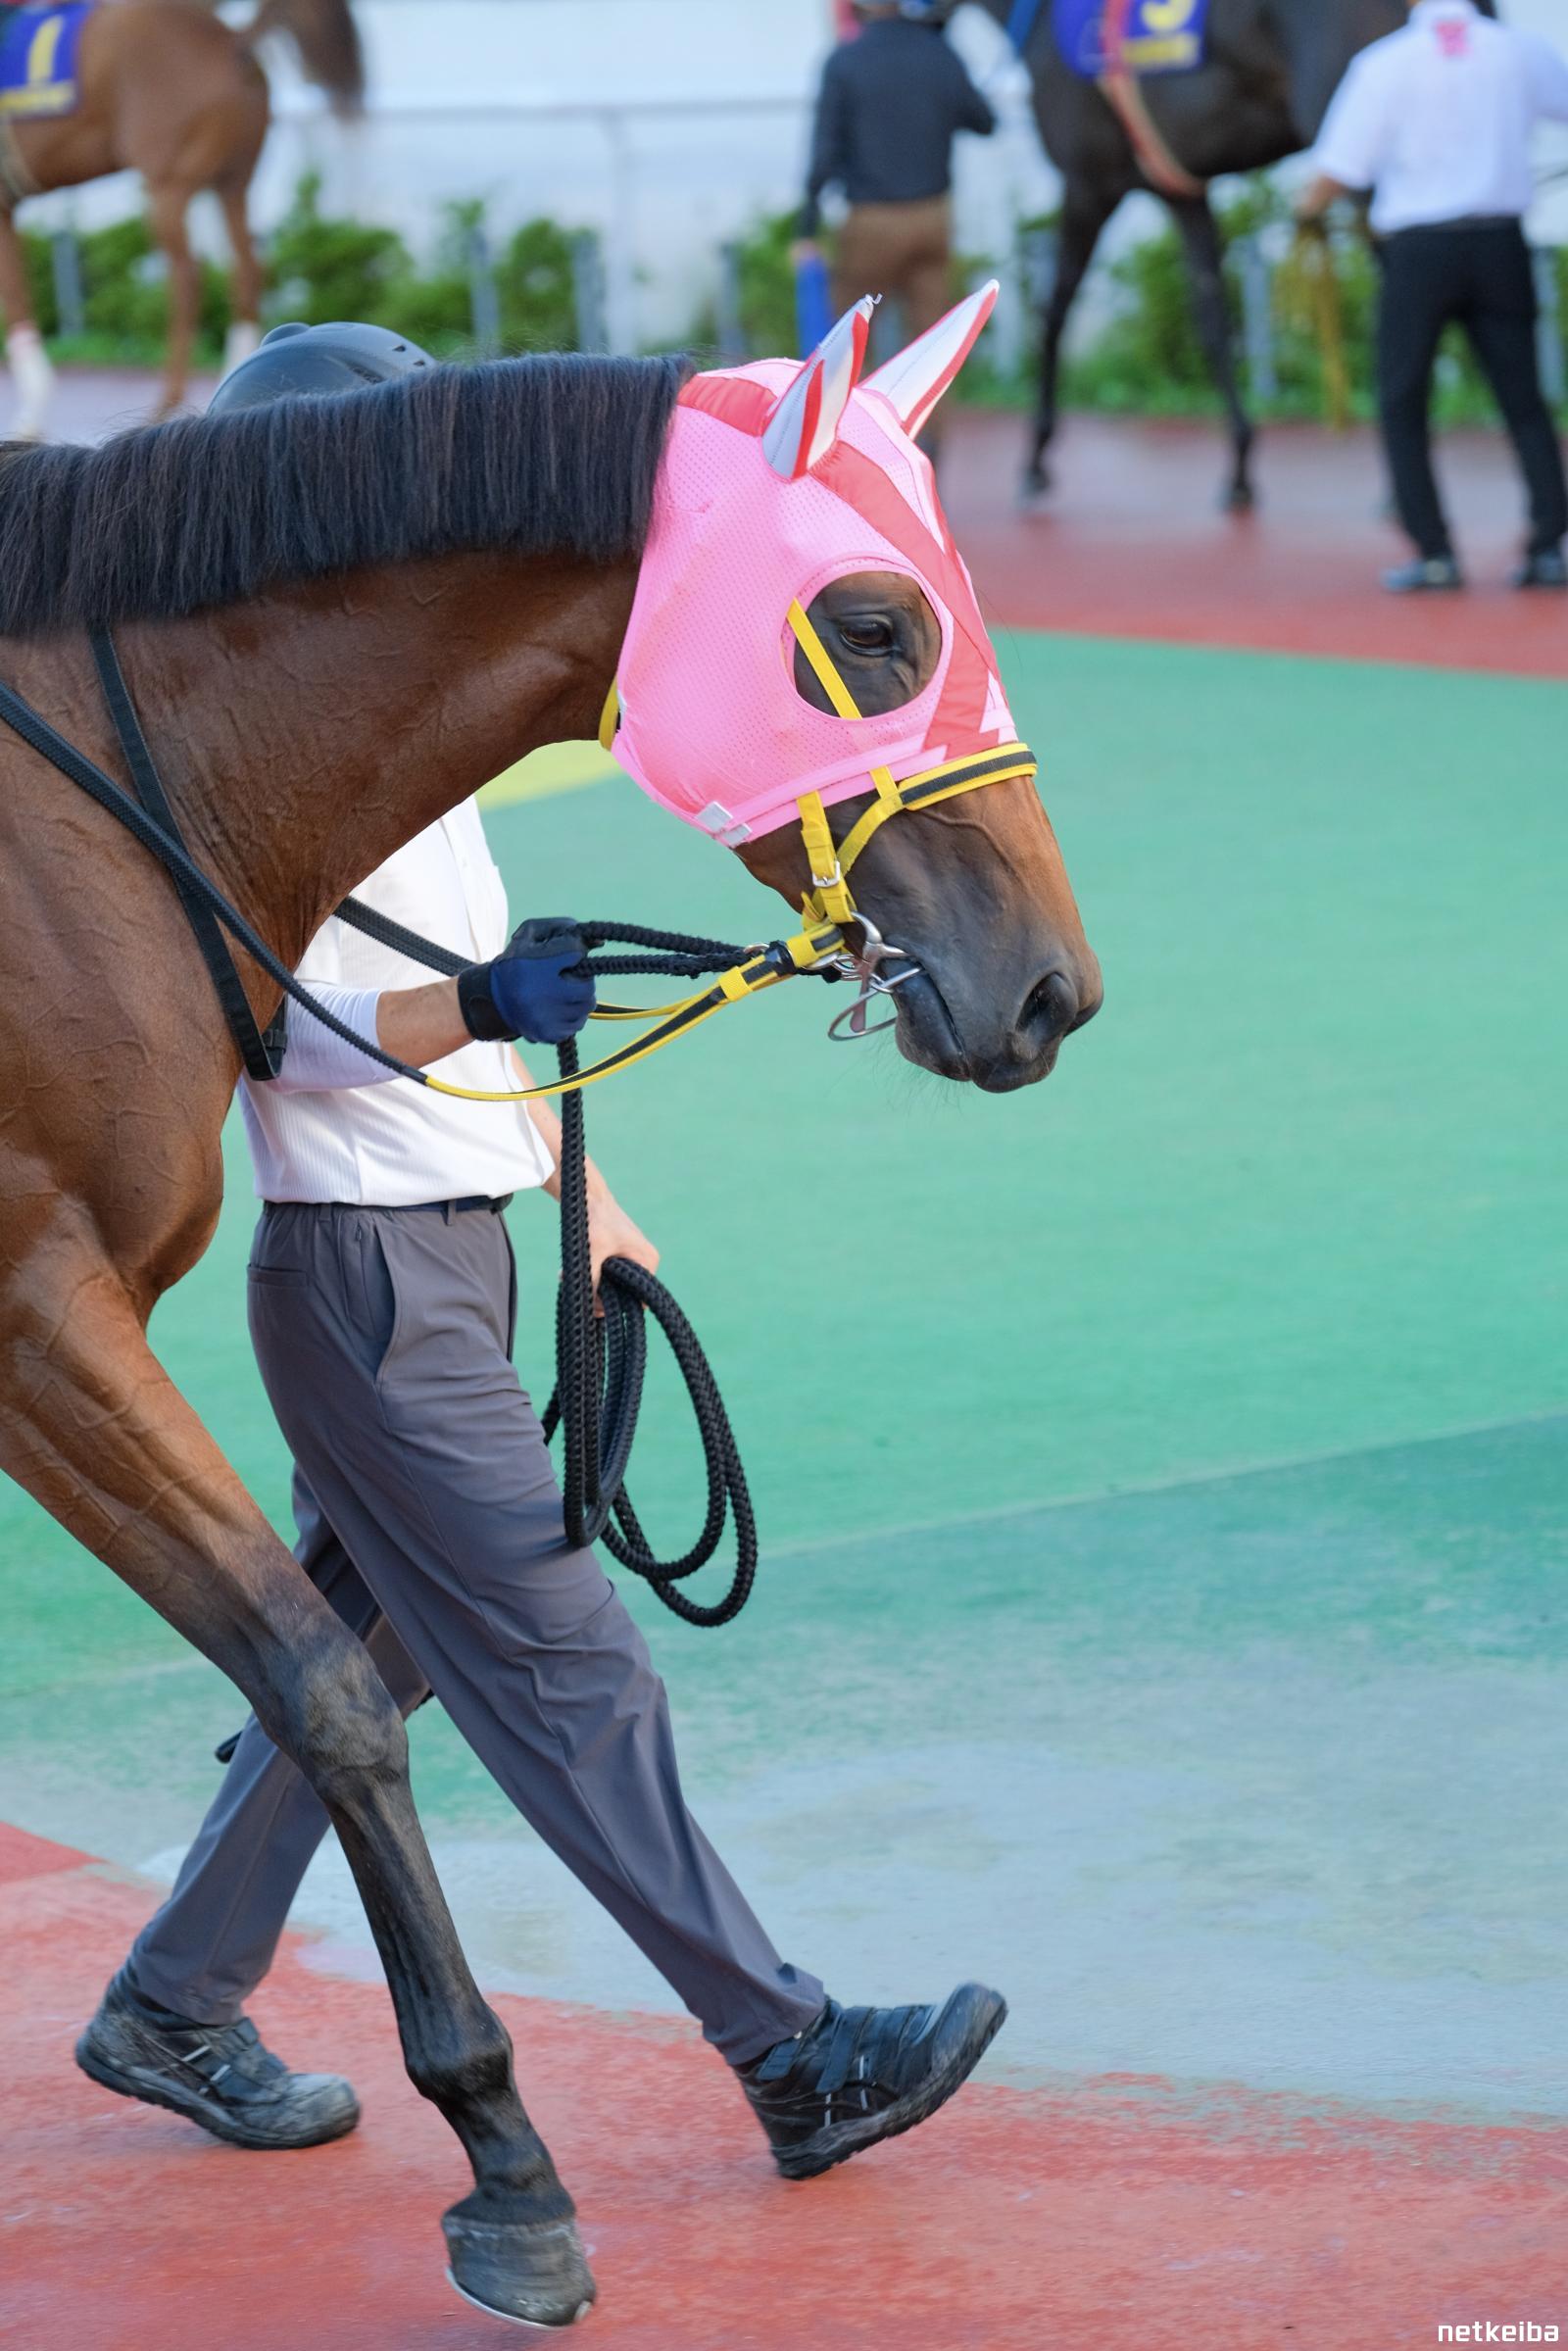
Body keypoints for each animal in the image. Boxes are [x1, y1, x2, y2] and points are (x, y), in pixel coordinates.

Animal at [0, 0, 362, 440]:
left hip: (168, 186)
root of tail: (230, 37)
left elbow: (15, 297)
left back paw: (166, 403)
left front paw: (29, 418)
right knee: (247, 272)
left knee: (187, 279)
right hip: (230, 183)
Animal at [0, 333, 1101, 2322]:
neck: (87, 805)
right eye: (874, 624)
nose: (1053, 984)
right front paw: (508, 2165)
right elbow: (327, 1683)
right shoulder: (37, 1297)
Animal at [973, 0, 1498, 508]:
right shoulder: (1181, 193)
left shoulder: (1088, 186)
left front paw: (1036, 458)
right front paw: (1240, 467)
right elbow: (1213, 321)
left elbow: (1052, 315)